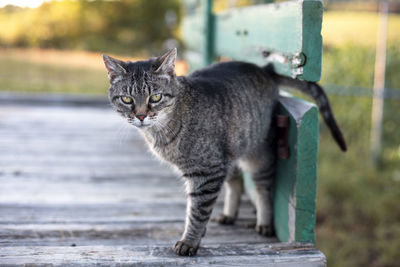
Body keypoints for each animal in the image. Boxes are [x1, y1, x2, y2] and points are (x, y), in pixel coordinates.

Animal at [103, 48, 346, 258]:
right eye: (127, 99)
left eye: (155, 98)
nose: (141, 116)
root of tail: (265, 69)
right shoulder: (210, 169)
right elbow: (200, 207)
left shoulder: (206, 172)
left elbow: (197, 211)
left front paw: (189, 241)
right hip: (229, 153)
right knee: (235, 182)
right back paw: (230, 214)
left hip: (257, 156)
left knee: (263, 189)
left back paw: (264, 222)